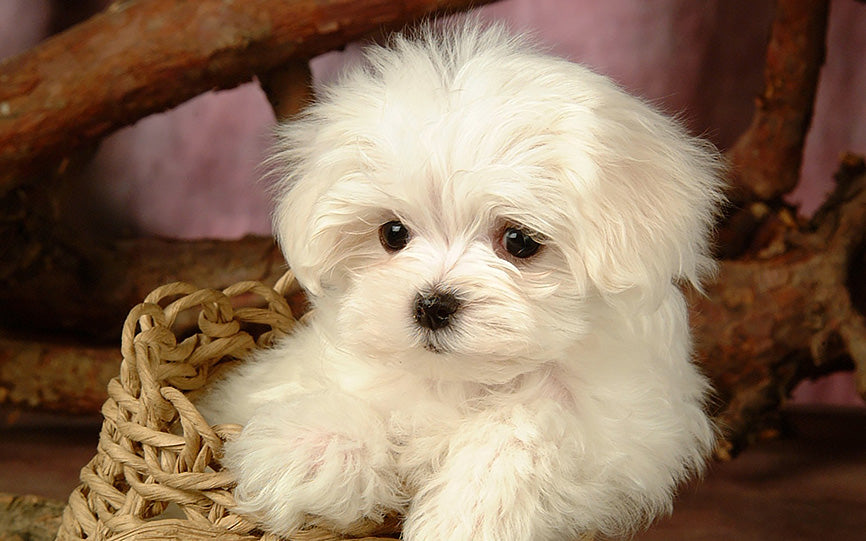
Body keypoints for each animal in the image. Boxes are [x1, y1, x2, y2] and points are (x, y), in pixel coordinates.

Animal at [197, 20, 724, 540]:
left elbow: (524, 432)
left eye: (519, 241)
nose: (432, 305)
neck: (465, 380)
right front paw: (306, 449)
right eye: (393, 233)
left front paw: (467, 515)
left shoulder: (633, 435)